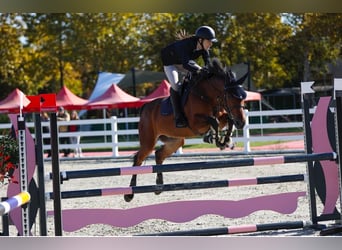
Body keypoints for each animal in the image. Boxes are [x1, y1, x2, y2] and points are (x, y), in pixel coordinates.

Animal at [124, 59, 247, 203]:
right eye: (232, 96)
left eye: (243, 97)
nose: (242, 123)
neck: (205, 94)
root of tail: (145, 107)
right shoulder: (195, 123)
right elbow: (214, 121)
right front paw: (217, 140)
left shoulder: (221, 116)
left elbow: (227, 119)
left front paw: (226, 141)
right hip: (148, 142)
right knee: (138, 159)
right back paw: (129, 194)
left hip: (175, 141)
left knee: (159, 155)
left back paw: (159, 186)